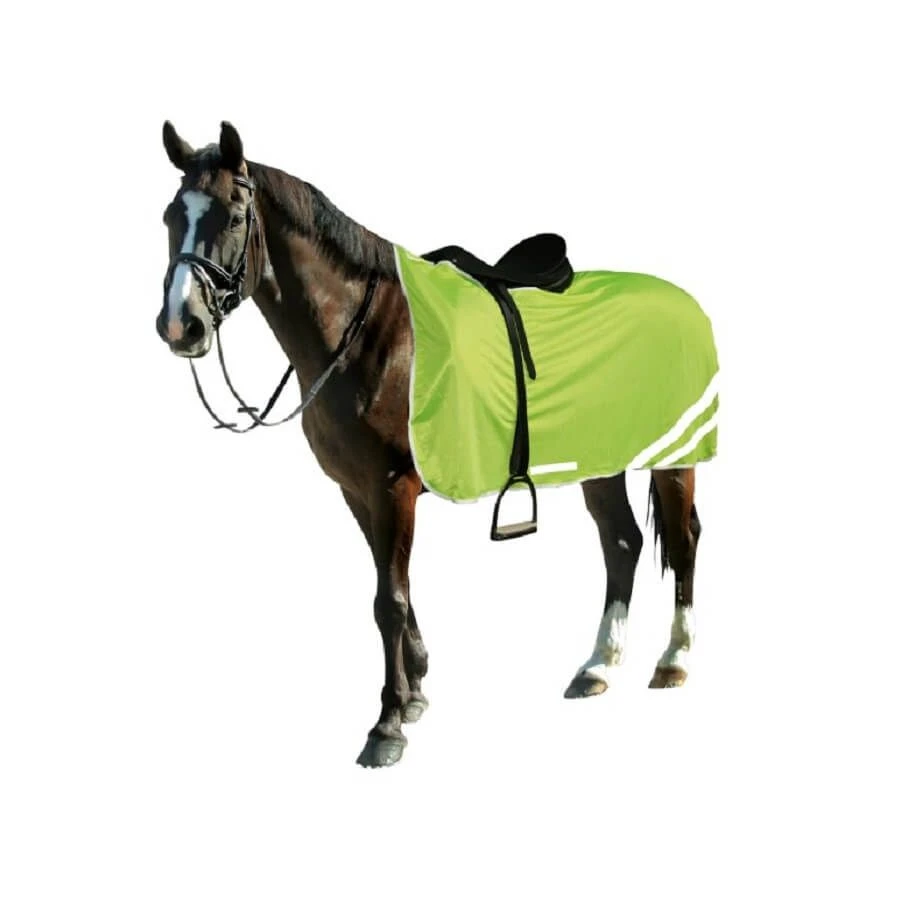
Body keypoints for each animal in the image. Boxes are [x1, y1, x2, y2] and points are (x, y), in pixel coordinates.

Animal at [155, 120, 706, 768]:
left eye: (236, 216)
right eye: (171, 216)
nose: (181, 324)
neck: (369, 333)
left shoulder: (393, 487)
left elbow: (388, 601)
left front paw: (388, 724)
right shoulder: (358, 491)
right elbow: (395, 591)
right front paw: (415, 689)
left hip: (675, 457)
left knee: (684, 542)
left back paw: (674, 660)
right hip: (600, 460)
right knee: (621, 543)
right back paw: (597, 666)